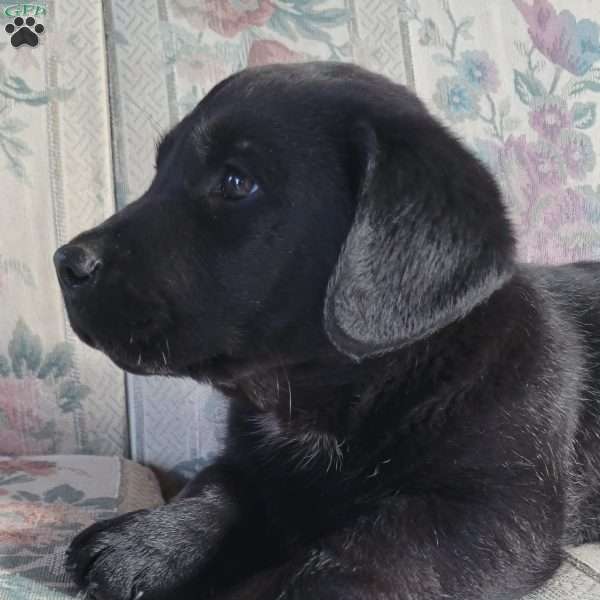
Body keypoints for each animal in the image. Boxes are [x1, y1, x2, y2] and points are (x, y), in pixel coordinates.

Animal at [55, 63, 600, 596]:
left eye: (235, 182)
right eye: (159, 171)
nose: (65, 262)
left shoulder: (491, 508)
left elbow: (349, 561)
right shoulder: (249, 460)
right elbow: (218, 487)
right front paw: (146, 542)